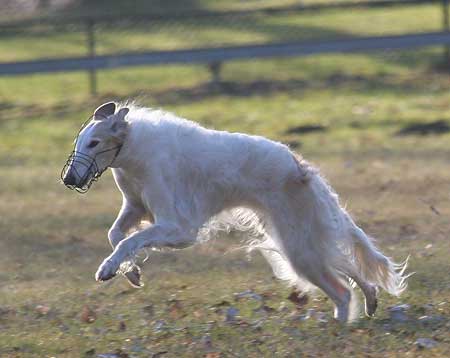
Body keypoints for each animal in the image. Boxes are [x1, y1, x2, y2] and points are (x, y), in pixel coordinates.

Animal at [61, 102, 410, 324]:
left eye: (94, 142)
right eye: (79, 140)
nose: (69, 179)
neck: (134, 147)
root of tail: (300, 167)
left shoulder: (179, 228)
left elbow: (127, 241)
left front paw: (109, 269)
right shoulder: (136, 207)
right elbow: (116, 234)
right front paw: (131, 272)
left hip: (299, 247)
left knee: (342, 291)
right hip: (299, 241)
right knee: (350, 270)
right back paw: (371, 300)